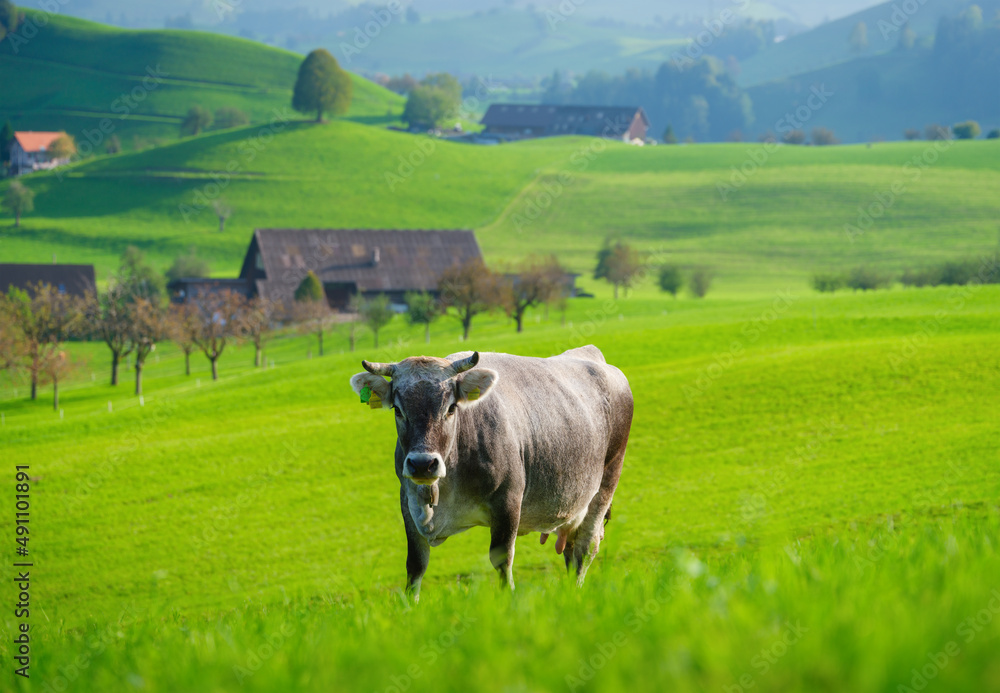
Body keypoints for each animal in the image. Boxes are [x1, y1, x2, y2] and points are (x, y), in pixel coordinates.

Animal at [352, 346, 632, 600]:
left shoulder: (507, 503)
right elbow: (416, 566)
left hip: (606, 482)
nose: (423, 464)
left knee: (585, 548)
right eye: (398, 410)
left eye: (451, 408)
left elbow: (502, 560)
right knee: (571, 551)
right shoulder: (408, 503)